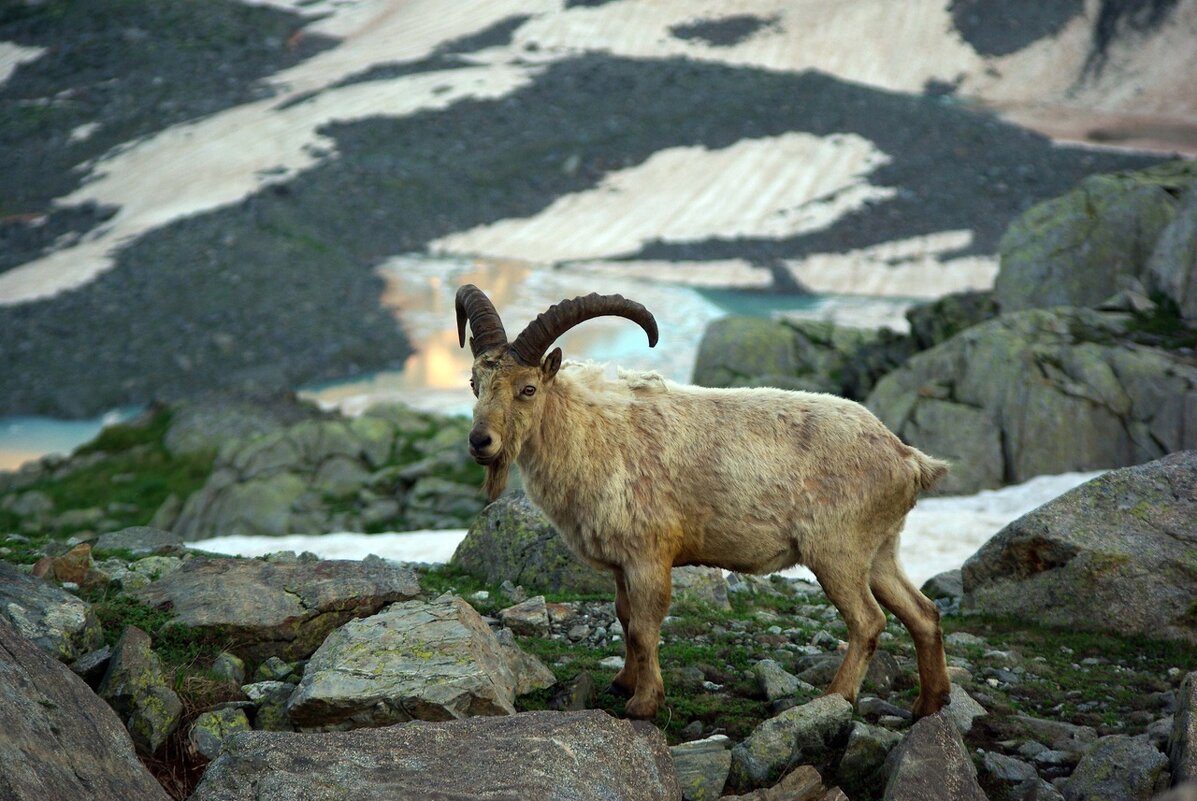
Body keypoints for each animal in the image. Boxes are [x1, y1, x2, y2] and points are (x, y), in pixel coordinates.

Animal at [457, 286, 952, 718]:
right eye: (474, 382)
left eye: (528, 388)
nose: (481, 442)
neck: (592, 433)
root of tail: (907, 458)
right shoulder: (621, 563)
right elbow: (624, 618)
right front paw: (623, 683)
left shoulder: (649, 554)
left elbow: (644, 628)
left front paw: (644, 703)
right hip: (880, 551)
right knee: (923, 613)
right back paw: (929, 704)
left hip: (838, 551)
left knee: (868, 621)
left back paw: (836, 698)